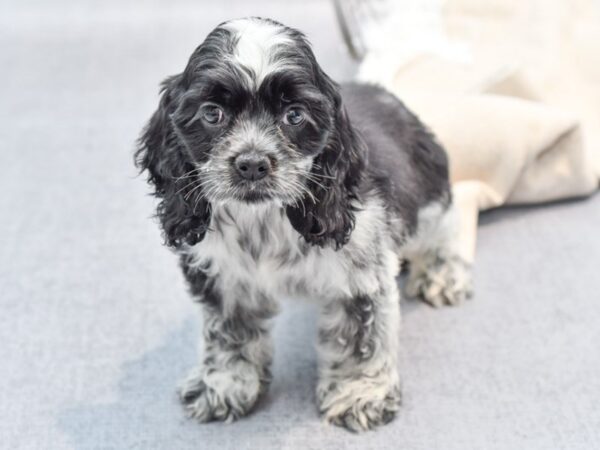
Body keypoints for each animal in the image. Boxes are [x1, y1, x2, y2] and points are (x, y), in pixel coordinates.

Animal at [136, 17, 474, 432]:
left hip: (425, 194)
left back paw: (443, 273)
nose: (252, 163)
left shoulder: (360, 274)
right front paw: (224, 385)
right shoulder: (223, 275)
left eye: (294, 115)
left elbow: (362, 337)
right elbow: (228, 333)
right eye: (212, 113)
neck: (265, 220)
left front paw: (361, 393)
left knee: (447, 221)